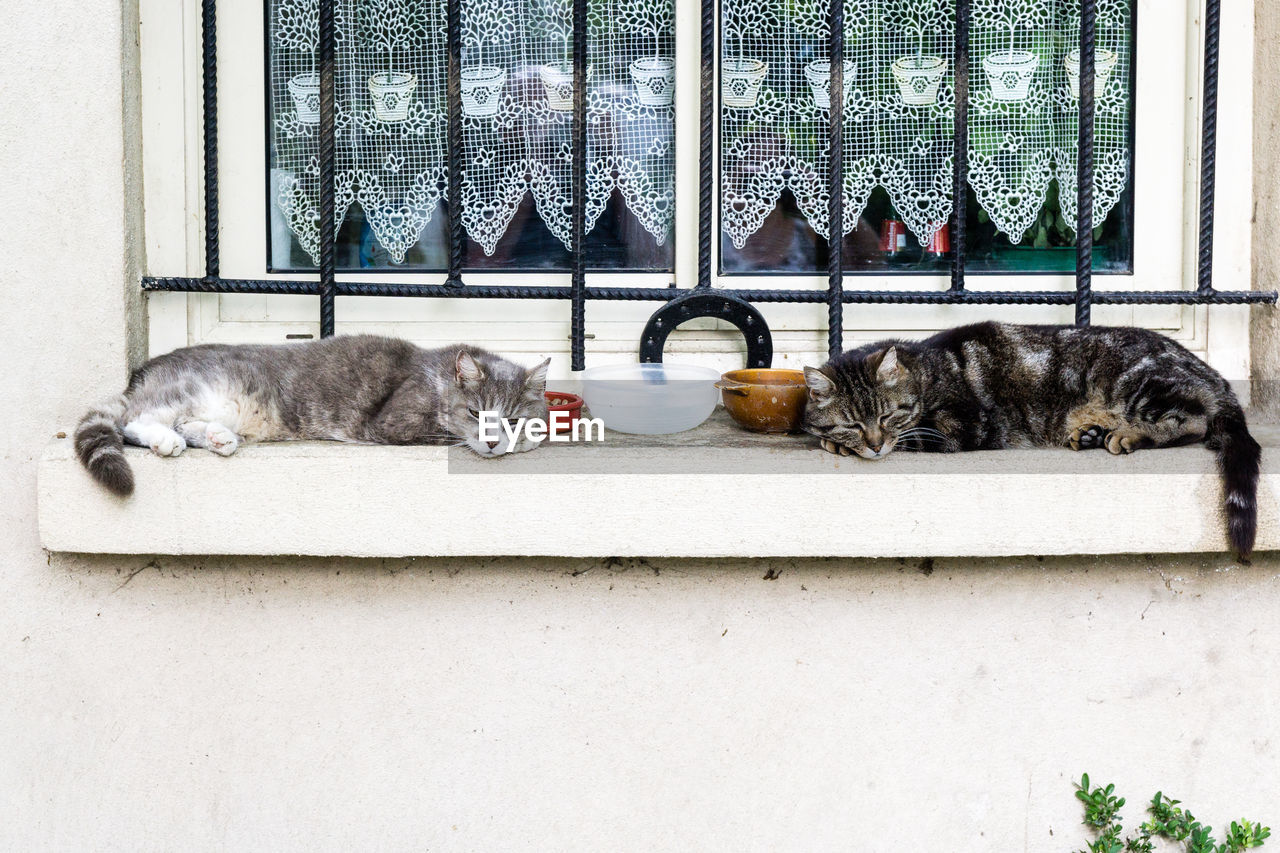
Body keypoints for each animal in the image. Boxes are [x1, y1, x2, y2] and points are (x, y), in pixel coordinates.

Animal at [76, 333, 550, 491]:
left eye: (511, 419)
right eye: (474, 412)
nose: (493, 441)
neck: (438, 376)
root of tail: (143, 373)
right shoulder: (396, 421)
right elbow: (436, 432)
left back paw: (218, 438)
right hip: (194, 389)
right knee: (135, 420)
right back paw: (165, 439)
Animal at [803, 322, 1264, 555]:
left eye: (886, 415)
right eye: (853, 422)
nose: (874, 443)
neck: (923, 370)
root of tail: (1212, 374)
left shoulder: (964, 424)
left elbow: (914, 438)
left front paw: (840, 445)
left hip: (1137, 382)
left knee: (1193, 420)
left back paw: (1128, 434)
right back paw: (1092, 432)